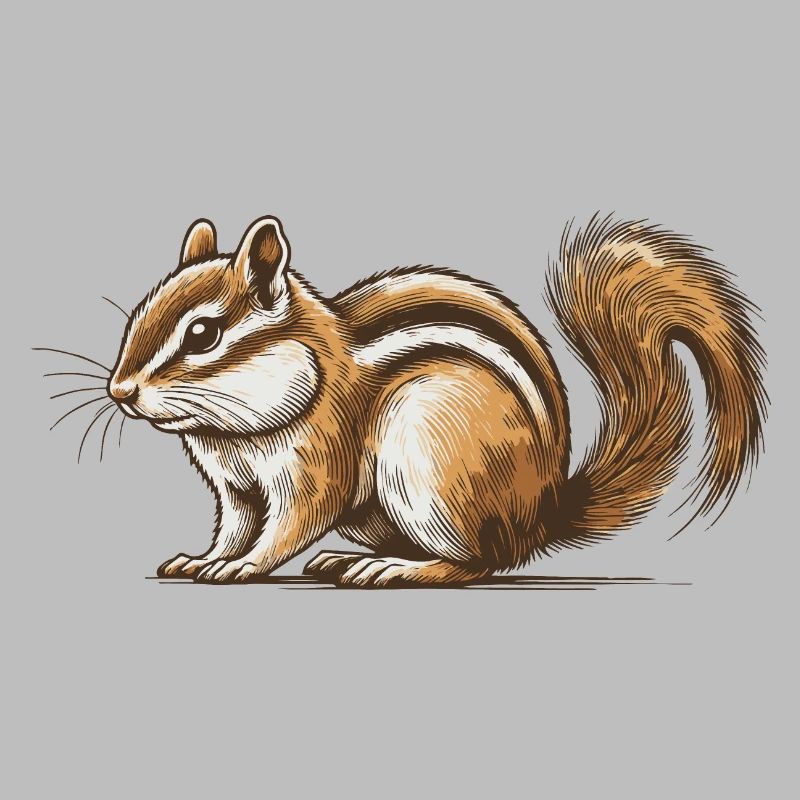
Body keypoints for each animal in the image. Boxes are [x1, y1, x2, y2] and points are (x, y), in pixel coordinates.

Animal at [104, 214, 766, 586]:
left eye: (202, 334)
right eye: (136, 315)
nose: (119, 392)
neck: (233, 432)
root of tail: (541, 513)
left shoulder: (319, 464)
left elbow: (291, 525)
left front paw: (243, 566)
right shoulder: (235, 489)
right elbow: (235, 526)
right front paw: (203, 558)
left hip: (430, 468)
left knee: (477, 563)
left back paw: (398, 569)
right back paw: (347, 561)